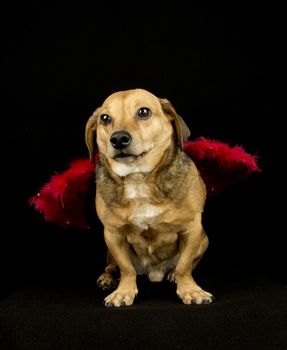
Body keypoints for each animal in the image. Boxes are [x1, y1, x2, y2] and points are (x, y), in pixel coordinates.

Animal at [85, 89, 214, 308]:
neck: (138, 178)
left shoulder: (192, 228)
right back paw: (108, 277)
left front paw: (189, 289)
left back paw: (171, 274)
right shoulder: (113, 234)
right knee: (113, 265)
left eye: (143, 112)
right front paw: (123, 292)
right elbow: (126, 268)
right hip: (109, 248)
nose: (118, 138)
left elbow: (185, 266)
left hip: (203, 239)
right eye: (105, 118)